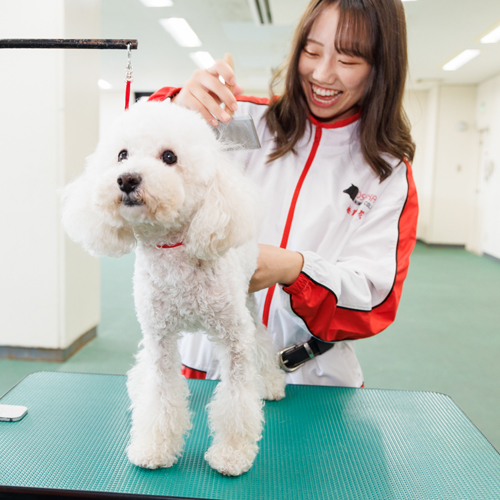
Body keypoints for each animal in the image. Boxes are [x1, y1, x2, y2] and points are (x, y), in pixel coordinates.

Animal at [62, 99, 288, 474]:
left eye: (169, 157)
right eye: (122, 155)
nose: (127, 179)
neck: (174, 250)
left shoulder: (234, 337)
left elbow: (237, 398)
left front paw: (232, 454)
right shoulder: (160, 337)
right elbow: (161, 395)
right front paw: (154, 448)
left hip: (248, 305)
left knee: (261, 341)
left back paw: (269, 383)